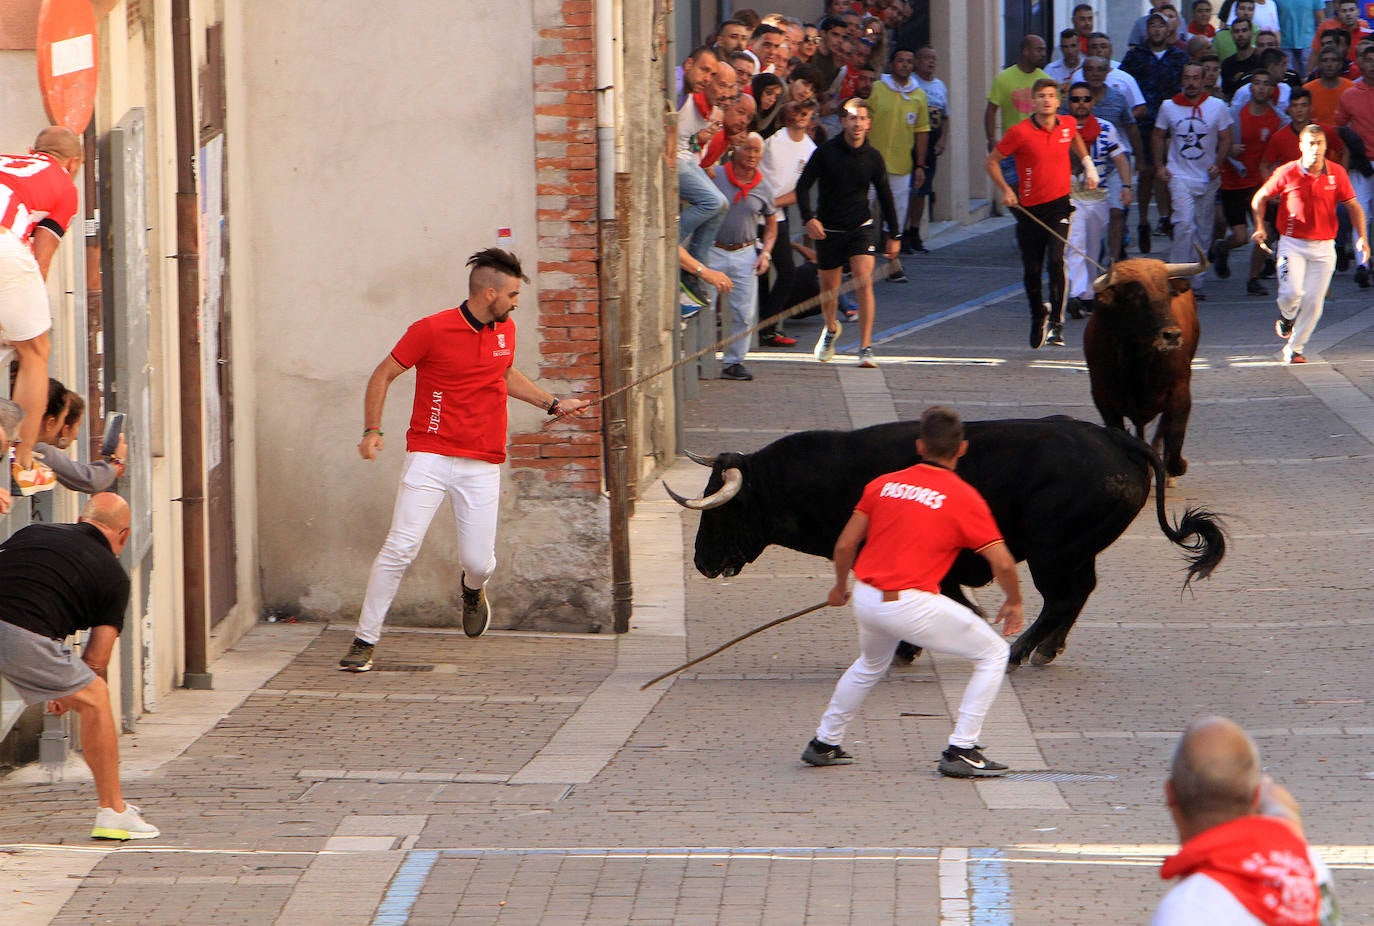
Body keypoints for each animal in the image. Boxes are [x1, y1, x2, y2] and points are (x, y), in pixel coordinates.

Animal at [673, 412, 1225, 664]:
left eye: (721, 512)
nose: (700, 561)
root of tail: (1116, 440)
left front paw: (905, 650)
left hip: (1054, 551)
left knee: (1063, 597)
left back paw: (1021, 651)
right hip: (1072, 552)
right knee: (1076, 595)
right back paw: (1043, 649)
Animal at [1082, 252, 1203, 483]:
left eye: (1168, 294)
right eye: (1134, 297)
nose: (1172, 335)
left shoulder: (1180, 392)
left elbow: (1174, 436)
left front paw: (1173, 468)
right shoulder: (1103, 399)